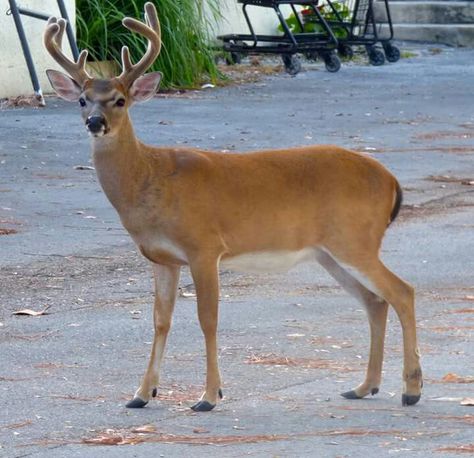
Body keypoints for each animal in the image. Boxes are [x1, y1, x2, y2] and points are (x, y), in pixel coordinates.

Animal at [43, 2, 422, 412]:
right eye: (82, 100)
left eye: (120, 100)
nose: (95, 122)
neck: (150, 180)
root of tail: (391, 180)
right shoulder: (162, 259)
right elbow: (160, 320)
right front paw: (142, 394)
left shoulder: (204, 247)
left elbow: (207, 319)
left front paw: (209, 396)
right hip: (330, 252)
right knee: (375, 301)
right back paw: (364, 386)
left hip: (355, 239)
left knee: (402, 292)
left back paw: (411, 389)